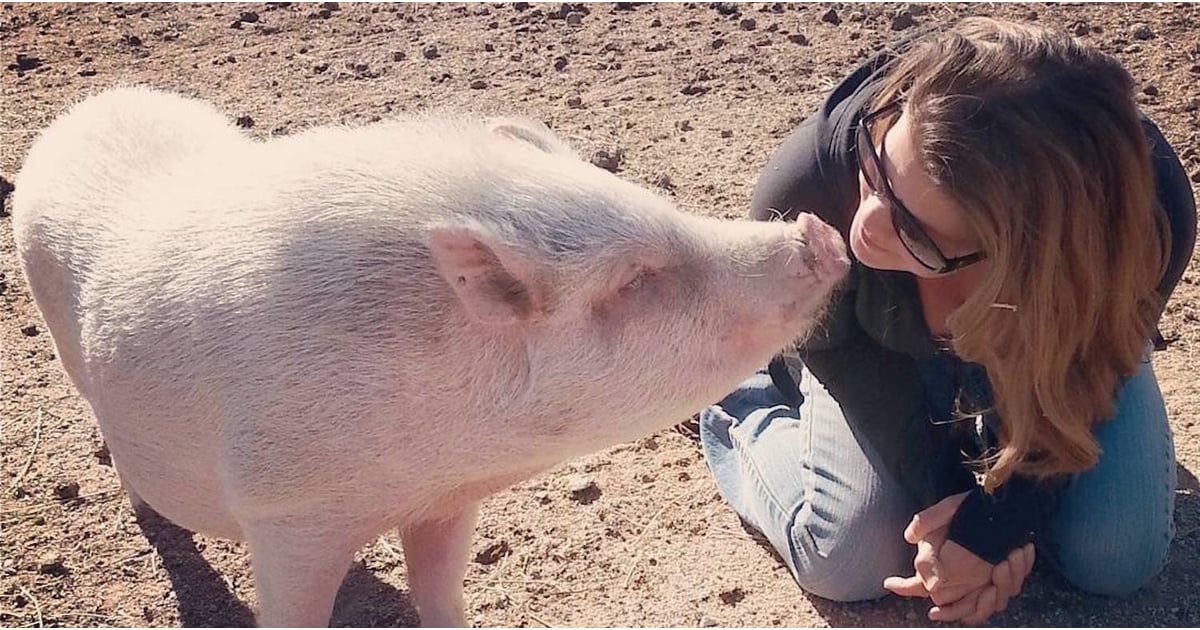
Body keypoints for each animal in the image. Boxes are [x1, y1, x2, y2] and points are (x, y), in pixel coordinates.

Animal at [12, 86, 848, 627]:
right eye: (633, 279)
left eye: (660, 204)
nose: (819, 233)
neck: (422, 470)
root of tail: (90, 107)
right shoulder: (282, 511)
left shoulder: (448, 504)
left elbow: (440, 592)